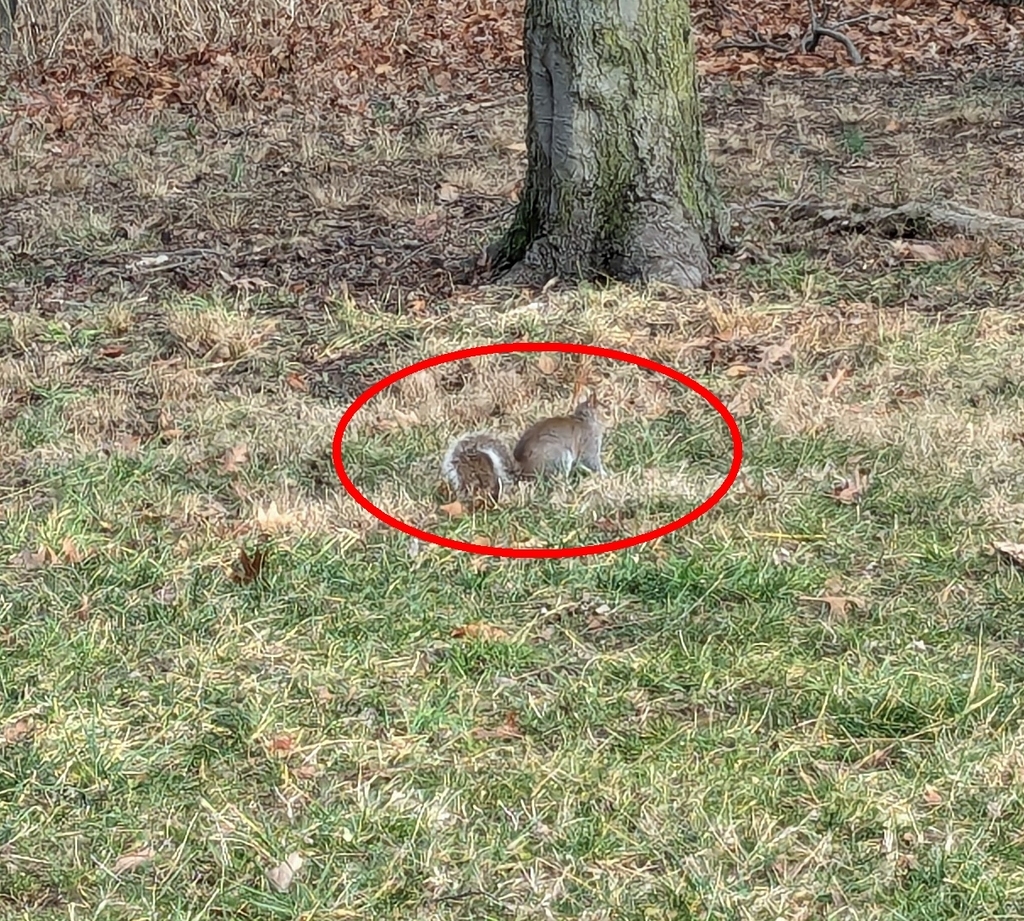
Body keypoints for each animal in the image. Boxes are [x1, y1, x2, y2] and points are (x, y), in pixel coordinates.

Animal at [442, 391, 607, 501]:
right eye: (606, 409)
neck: (585, 420)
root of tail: (522, 469)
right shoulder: (588, 444)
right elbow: (591, 461)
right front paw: (605, 475)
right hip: (559, 457)